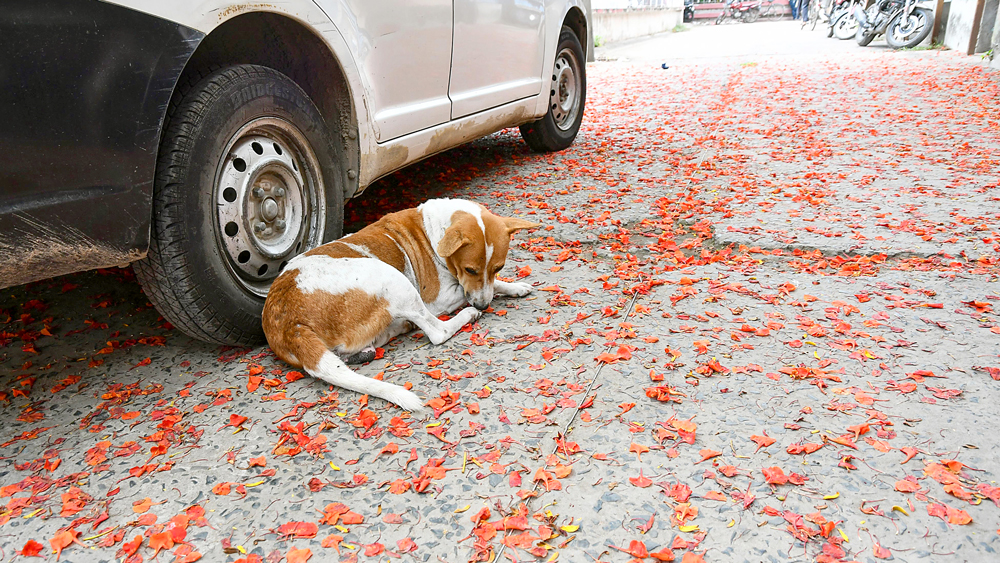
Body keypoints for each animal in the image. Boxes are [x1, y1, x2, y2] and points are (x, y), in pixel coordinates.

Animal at [262, 198, 536, 410]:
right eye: (470, 269)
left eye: (498, 267)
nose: (482, 306)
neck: (434, 229)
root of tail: (289, 324)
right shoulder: (440, 297)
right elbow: (470, 292)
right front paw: (496, 294)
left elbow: (496, 284)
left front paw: (515, 287)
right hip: (394, 278)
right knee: (437, 331)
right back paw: (465, 316)